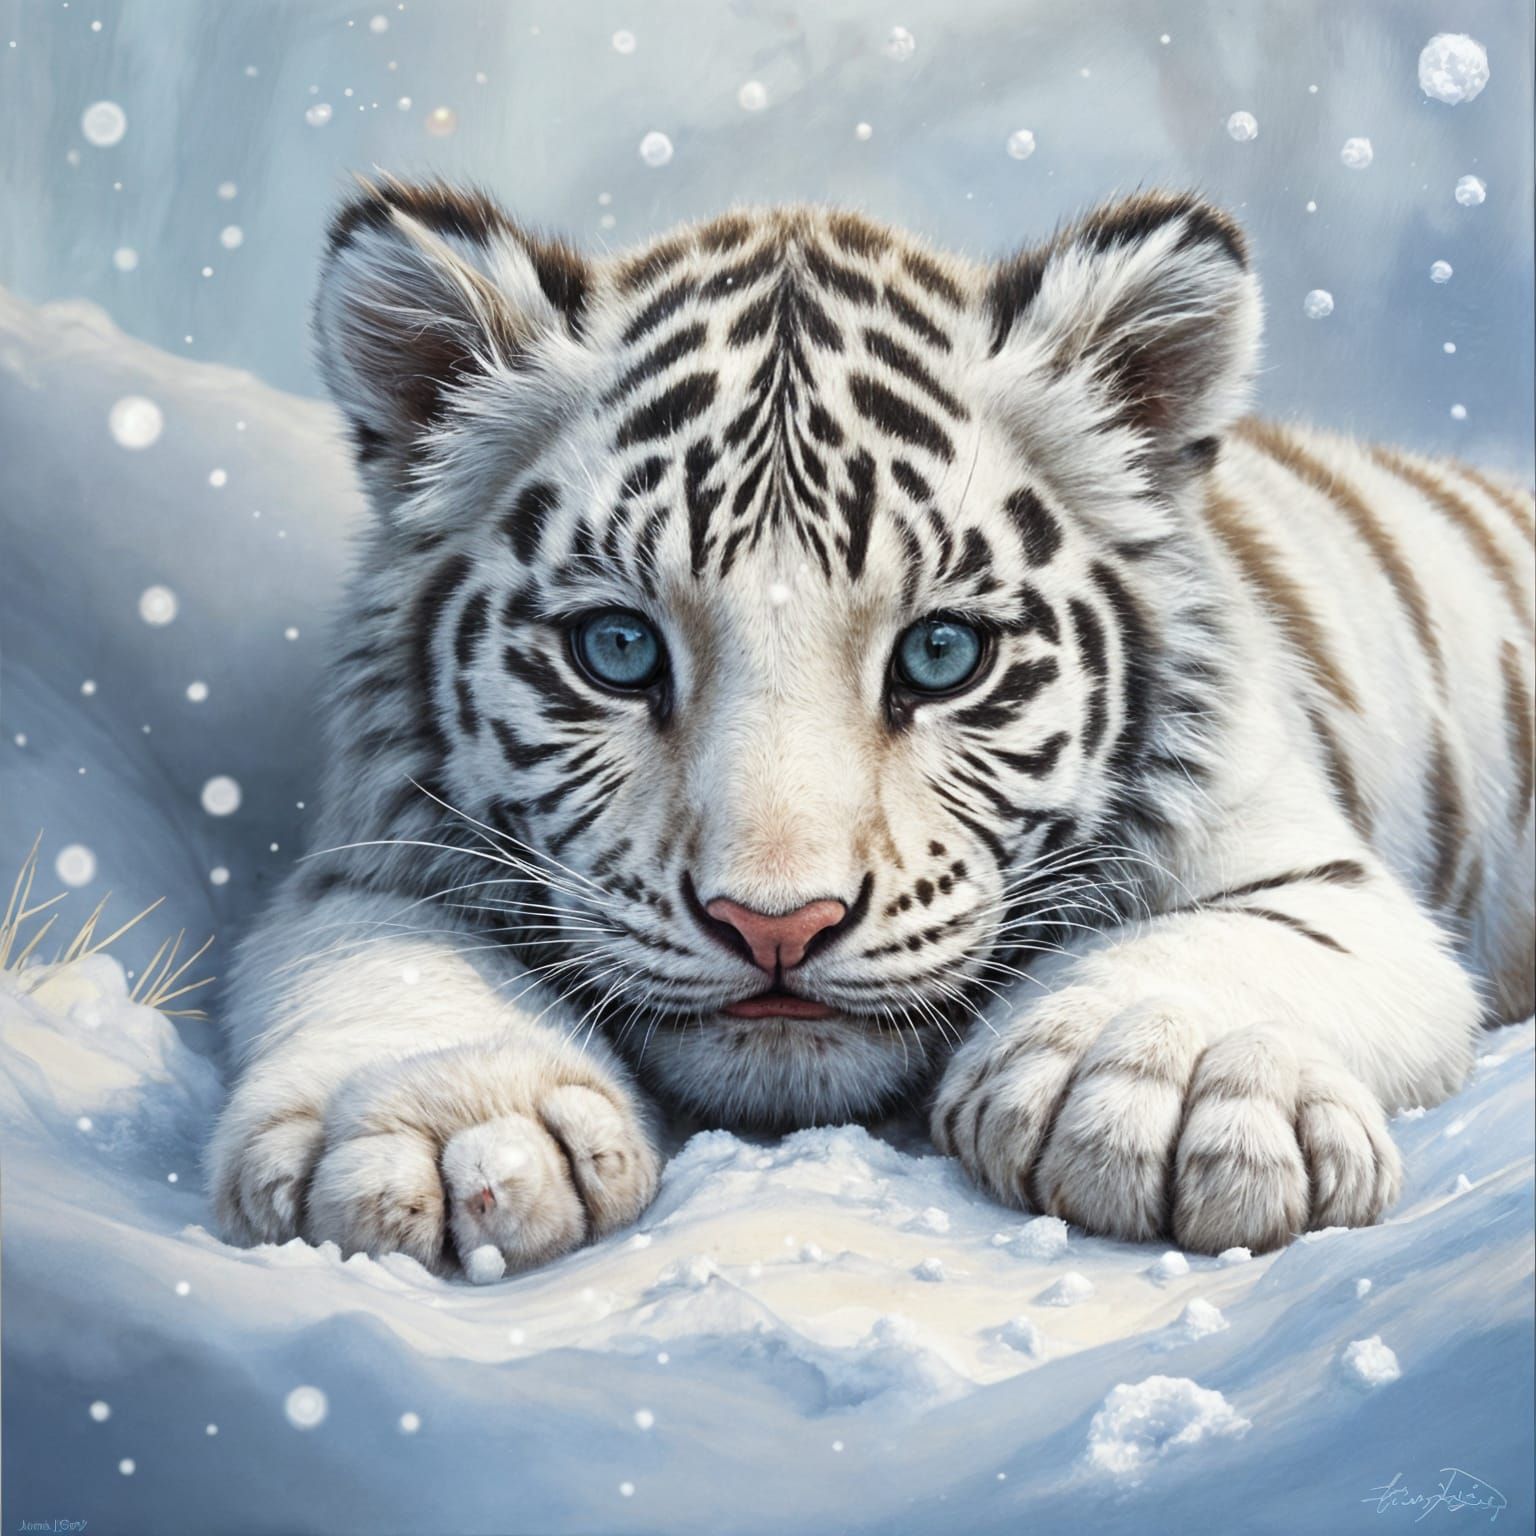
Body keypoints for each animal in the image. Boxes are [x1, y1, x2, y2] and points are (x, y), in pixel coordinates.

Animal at [208, 176, 1535, 1276]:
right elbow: (392, 959)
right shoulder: (369, 856)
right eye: (618, 650)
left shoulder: (1311, 866)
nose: (775, 925)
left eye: (941, 655)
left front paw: (1159, 1093)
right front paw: (443, 1135)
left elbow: (1225, 946)